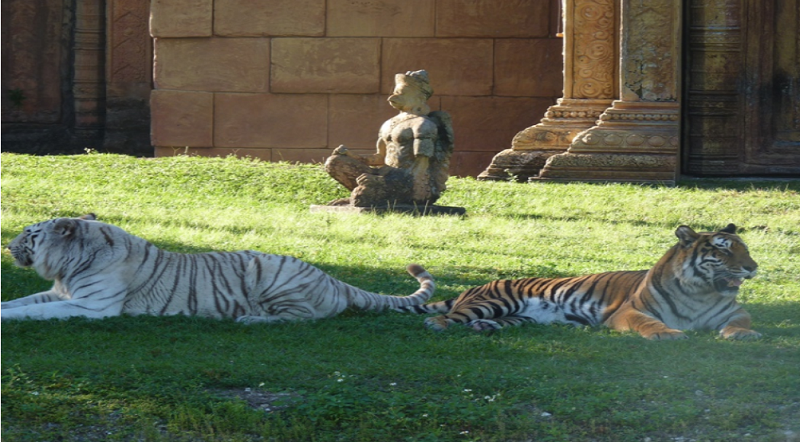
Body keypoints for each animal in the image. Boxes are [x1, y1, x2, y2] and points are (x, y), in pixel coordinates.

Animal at [397, 224, 761, 340]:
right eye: (723, 249)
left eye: (745, 248)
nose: (753, 267)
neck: (701, 292)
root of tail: (472, 287)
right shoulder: (628, 312)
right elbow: (650, 324)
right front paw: (669, 334)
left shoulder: (733, 311)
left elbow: (741, 321)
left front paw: (745, 335)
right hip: (497, 301)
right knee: (447, 316)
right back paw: (438, 325)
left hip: (521, 317)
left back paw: (484, 328)